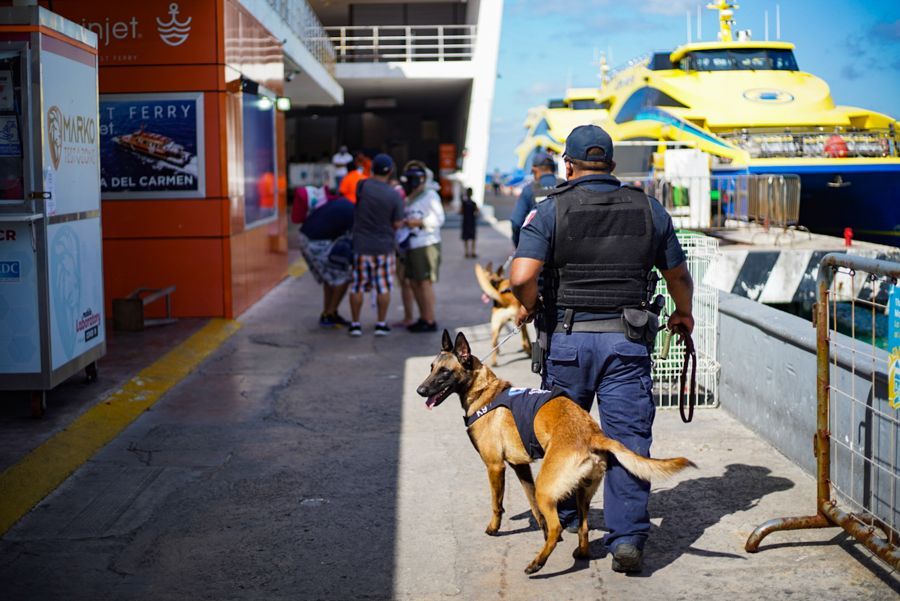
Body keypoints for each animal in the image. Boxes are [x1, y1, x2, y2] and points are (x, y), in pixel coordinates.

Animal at [414, 330, 696, 576]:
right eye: (431, 367)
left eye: (445, 372)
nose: (420, 391)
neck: (485, 391)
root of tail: (591, 432)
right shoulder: (521, 467)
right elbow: (534, 508)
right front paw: (538, 527)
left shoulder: (495, 466)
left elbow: (497, 504)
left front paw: (493, 528)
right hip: (581, 491)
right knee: (582, 526)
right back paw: (580, 553)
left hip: (546, 487)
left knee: (557, 526)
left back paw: (538, 563)